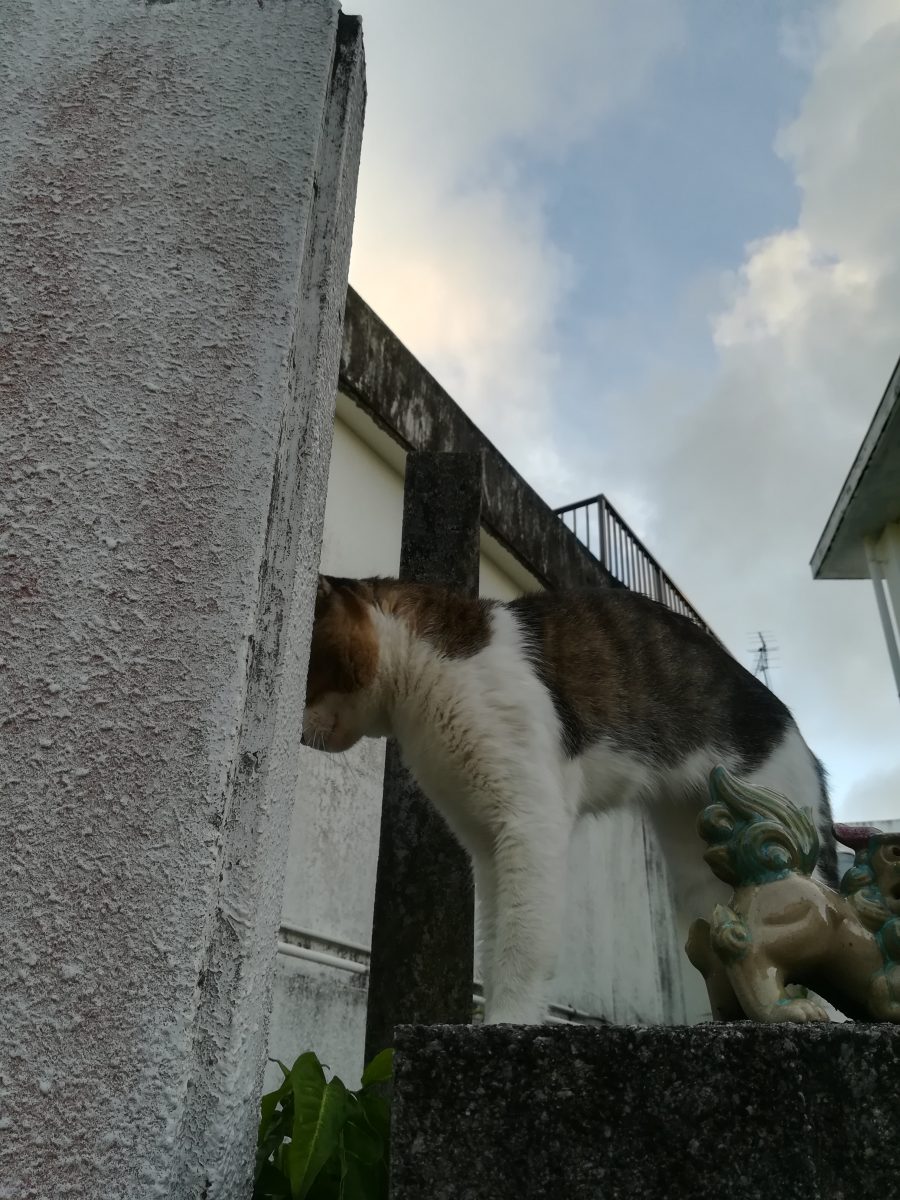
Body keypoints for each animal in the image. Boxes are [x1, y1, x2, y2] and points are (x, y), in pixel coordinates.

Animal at [302, 574, 838, 1026]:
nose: (296, 733)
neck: (422, 676)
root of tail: (804, 742)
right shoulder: (487, 844)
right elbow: (495, 937)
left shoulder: (529, 823)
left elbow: (523, 942)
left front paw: (507, 1022)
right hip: (703, 867)